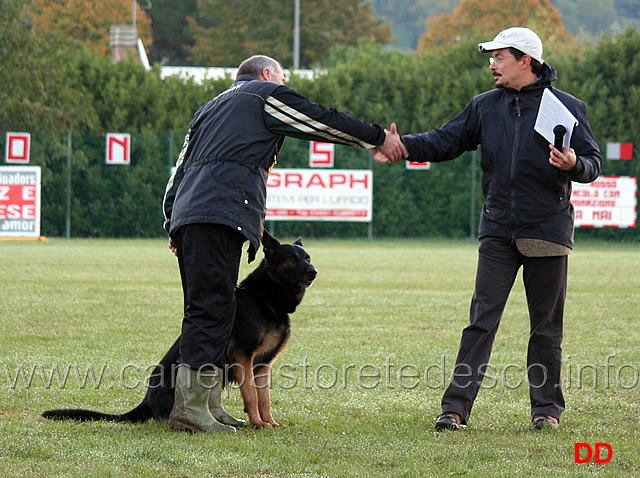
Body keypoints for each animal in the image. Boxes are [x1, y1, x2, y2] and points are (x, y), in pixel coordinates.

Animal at [42, 232, 318, 430]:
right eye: (292, 258)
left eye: (307, 258)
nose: (314, 272)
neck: (264, 298)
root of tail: (146, 401)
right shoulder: (243, 358)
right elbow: (250, 395)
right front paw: (258, 424)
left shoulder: (262, 365)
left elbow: (264, 399)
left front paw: (269, 422)